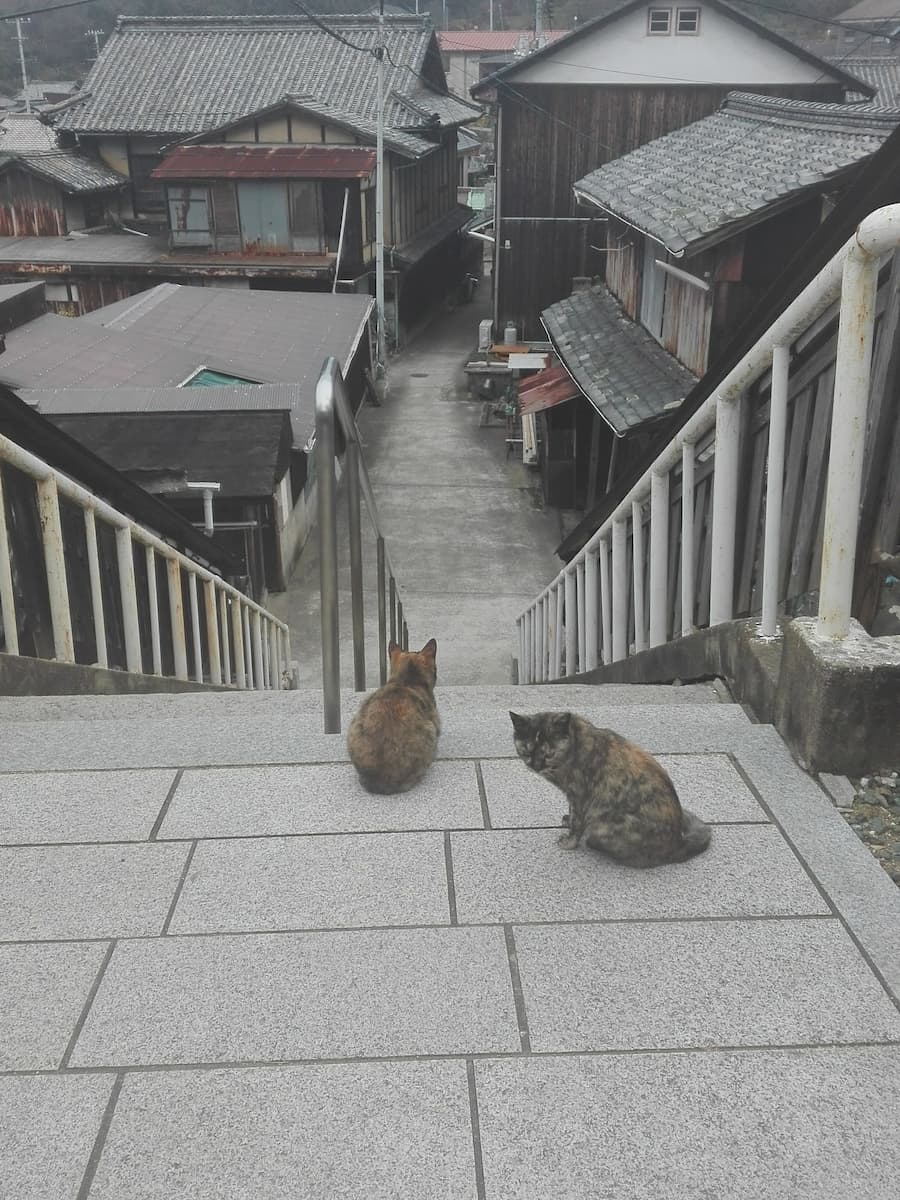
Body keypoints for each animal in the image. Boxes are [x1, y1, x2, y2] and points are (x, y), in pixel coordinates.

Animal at [508, 705, 710, 868]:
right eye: (527, 751)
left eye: (548, 754)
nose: (535, 766)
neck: (574, 742)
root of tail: (678, 844)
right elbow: (571, 814)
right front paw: (566, 820)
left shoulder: (580, 795)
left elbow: (577, 822)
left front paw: (569, 842)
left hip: (606, 823)